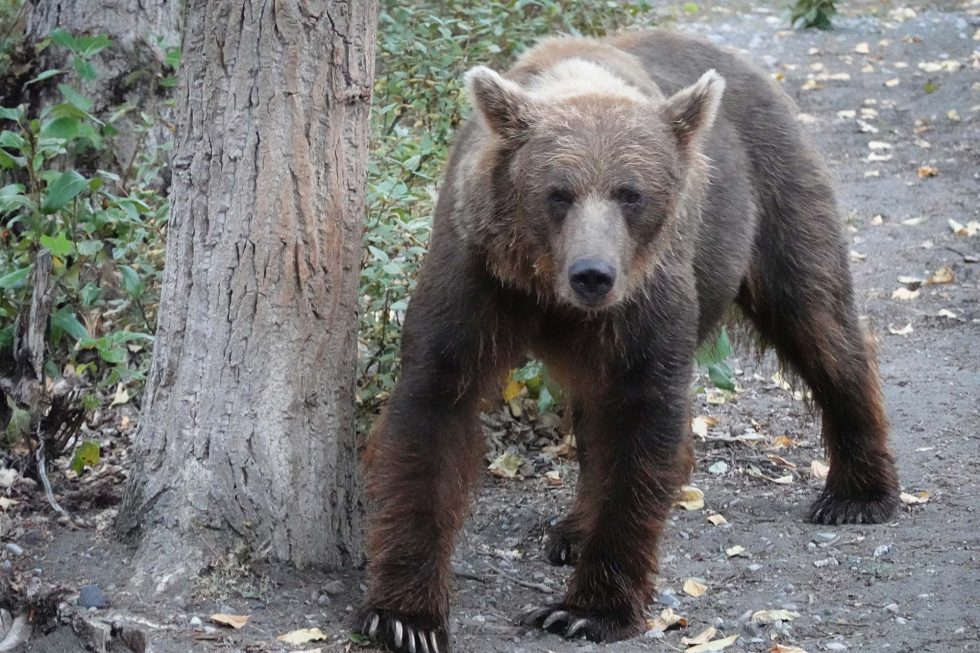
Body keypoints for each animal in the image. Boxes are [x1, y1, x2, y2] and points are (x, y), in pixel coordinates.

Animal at [355, 28, 900, 652]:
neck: (544, 288)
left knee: (819, 323)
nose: (593, 274)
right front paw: (405, 616)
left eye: (630, 193)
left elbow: (642, 417)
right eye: (558, 193)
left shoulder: (647, 294)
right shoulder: (477, 272)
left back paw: (857, 494)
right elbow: (434, 408)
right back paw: (571, 530)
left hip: (776, 194)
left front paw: (587, 610)